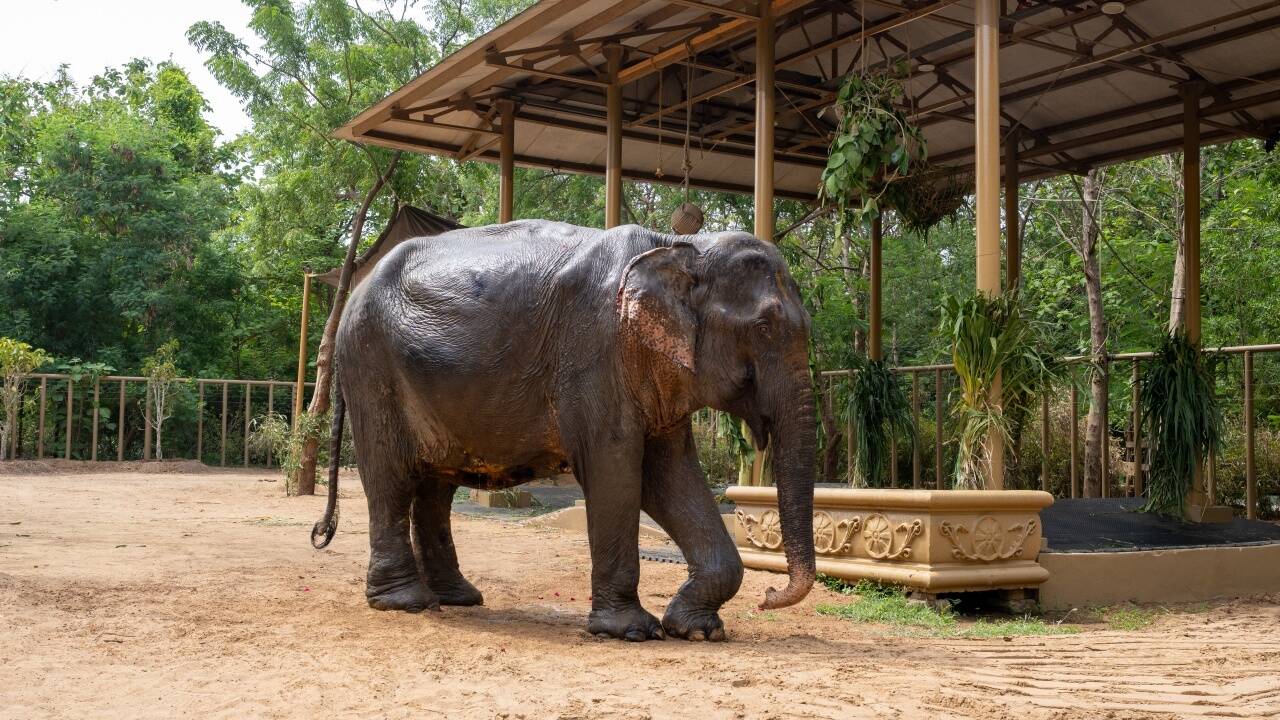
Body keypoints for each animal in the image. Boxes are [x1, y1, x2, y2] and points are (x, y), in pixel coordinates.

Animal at [311, 220, 816, 642]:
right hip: (371, 366)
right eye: (764, 327)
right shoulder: (595, 353)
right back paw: (407, 603)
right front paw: (632, 632)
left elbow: (670, 477)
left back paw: (459, 598)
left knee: (435, 487)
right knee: (391, 477)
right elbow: (616, 470)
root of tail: (350, 298)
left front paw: (696, 630)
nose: (768, 598)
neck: (682, 245)